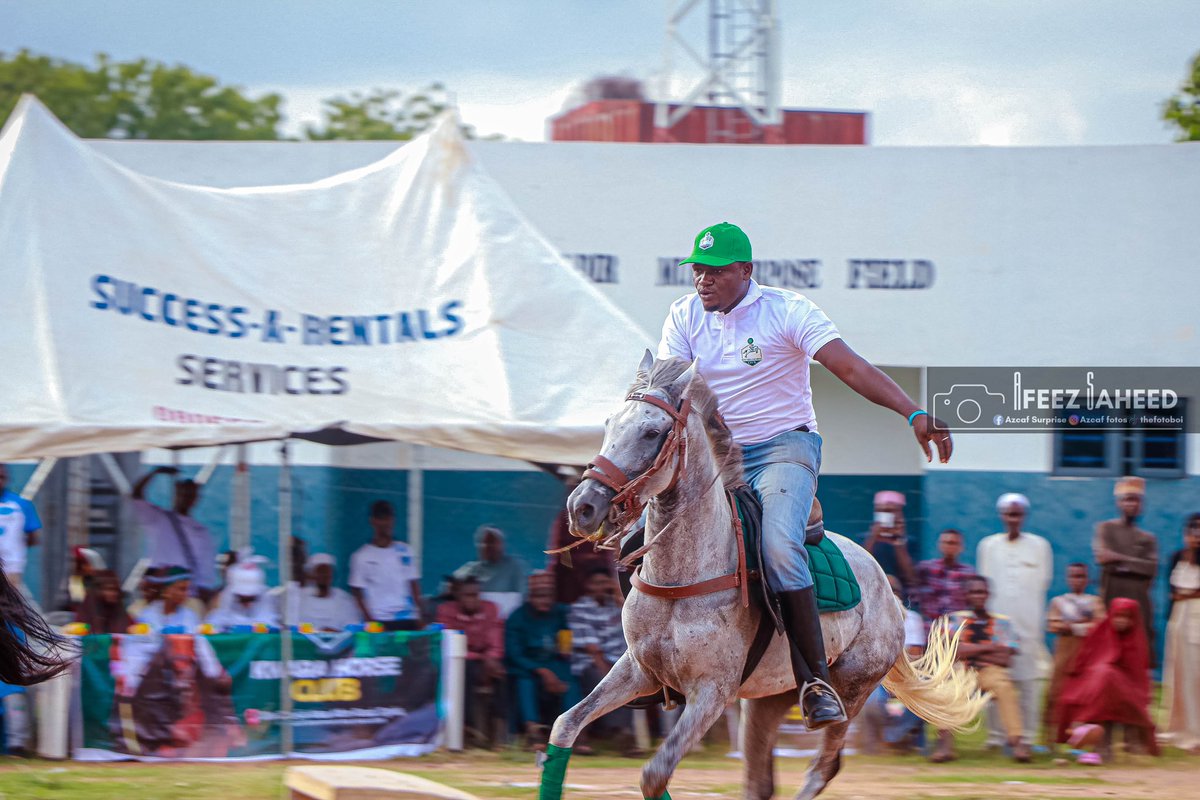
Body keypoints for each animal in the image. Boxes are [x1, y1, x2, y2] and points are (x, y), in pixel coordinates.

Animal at [543, 353, 985, 800]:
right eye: (608, 424)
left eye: (652, 432)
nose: (582, 507)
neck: (681, 580)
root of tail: (889, 593)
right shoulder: (638, 670)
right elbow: (565, 725)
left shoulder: (711, 693)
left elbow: (655, 773)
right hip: (767, 699)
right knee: (760, 780)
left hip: (852, 689)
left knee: (822, 767)